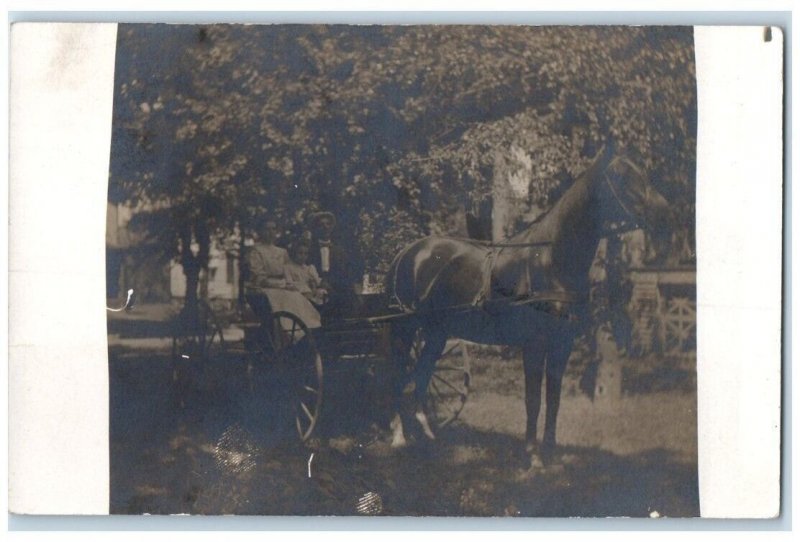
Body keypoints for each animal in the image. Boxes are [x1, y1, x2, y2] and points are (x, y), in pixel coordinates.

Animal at [388, 141, 676, 468]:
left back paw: (427, 438)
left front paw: (551, 454)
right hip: (405, 330)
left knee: (421, 376)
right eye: (622, 177)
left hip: (436, 333)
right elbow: (533, 400)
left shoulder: (562, 343)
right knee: (399, 376)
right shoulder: (534, 344)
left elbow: (554, 399)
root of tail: (409, 252)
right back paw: (399, 437)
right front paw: (533, 456)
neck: (551, 262)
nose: (667, 215)